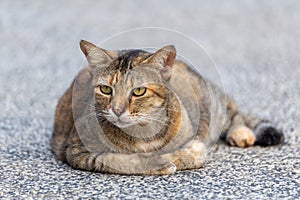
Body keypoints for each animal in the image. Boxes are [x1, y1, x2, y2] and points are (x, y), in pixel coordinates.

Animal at [51, 40, 284, 175]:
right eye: (106, 89)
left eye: (138, 91)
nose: (117, 110)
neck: (141, 132)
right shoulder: (77, 151)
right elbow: (118, 160)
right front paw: (158, 161)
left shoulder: (196, 141)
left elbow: (192, 154)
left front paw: (174, 157)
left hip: (212, 104)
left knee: (233, 113)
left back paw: (241, 133)